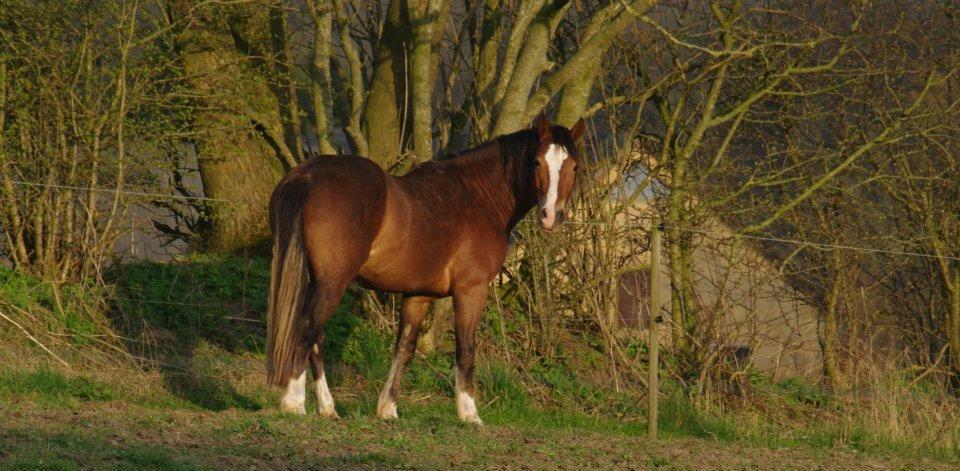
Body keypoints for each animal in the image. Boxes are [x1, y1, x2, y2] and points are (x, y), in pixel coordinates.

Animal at [266, 114, 588, 424]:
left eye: (573, 166)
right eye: (537, 162)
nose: (550, 216)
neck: (477, 197)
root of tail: (309, 173)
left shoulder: (418, 296)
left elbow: (404, 349)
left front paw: (388, 409)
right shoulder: (471, 291)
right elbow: (465, 350)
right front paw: (469, 414)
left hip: (316, 279)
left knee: (316, 339)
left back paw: (328, 408)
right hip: (332, 281)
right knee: (307, 329)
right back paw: (294, 402)